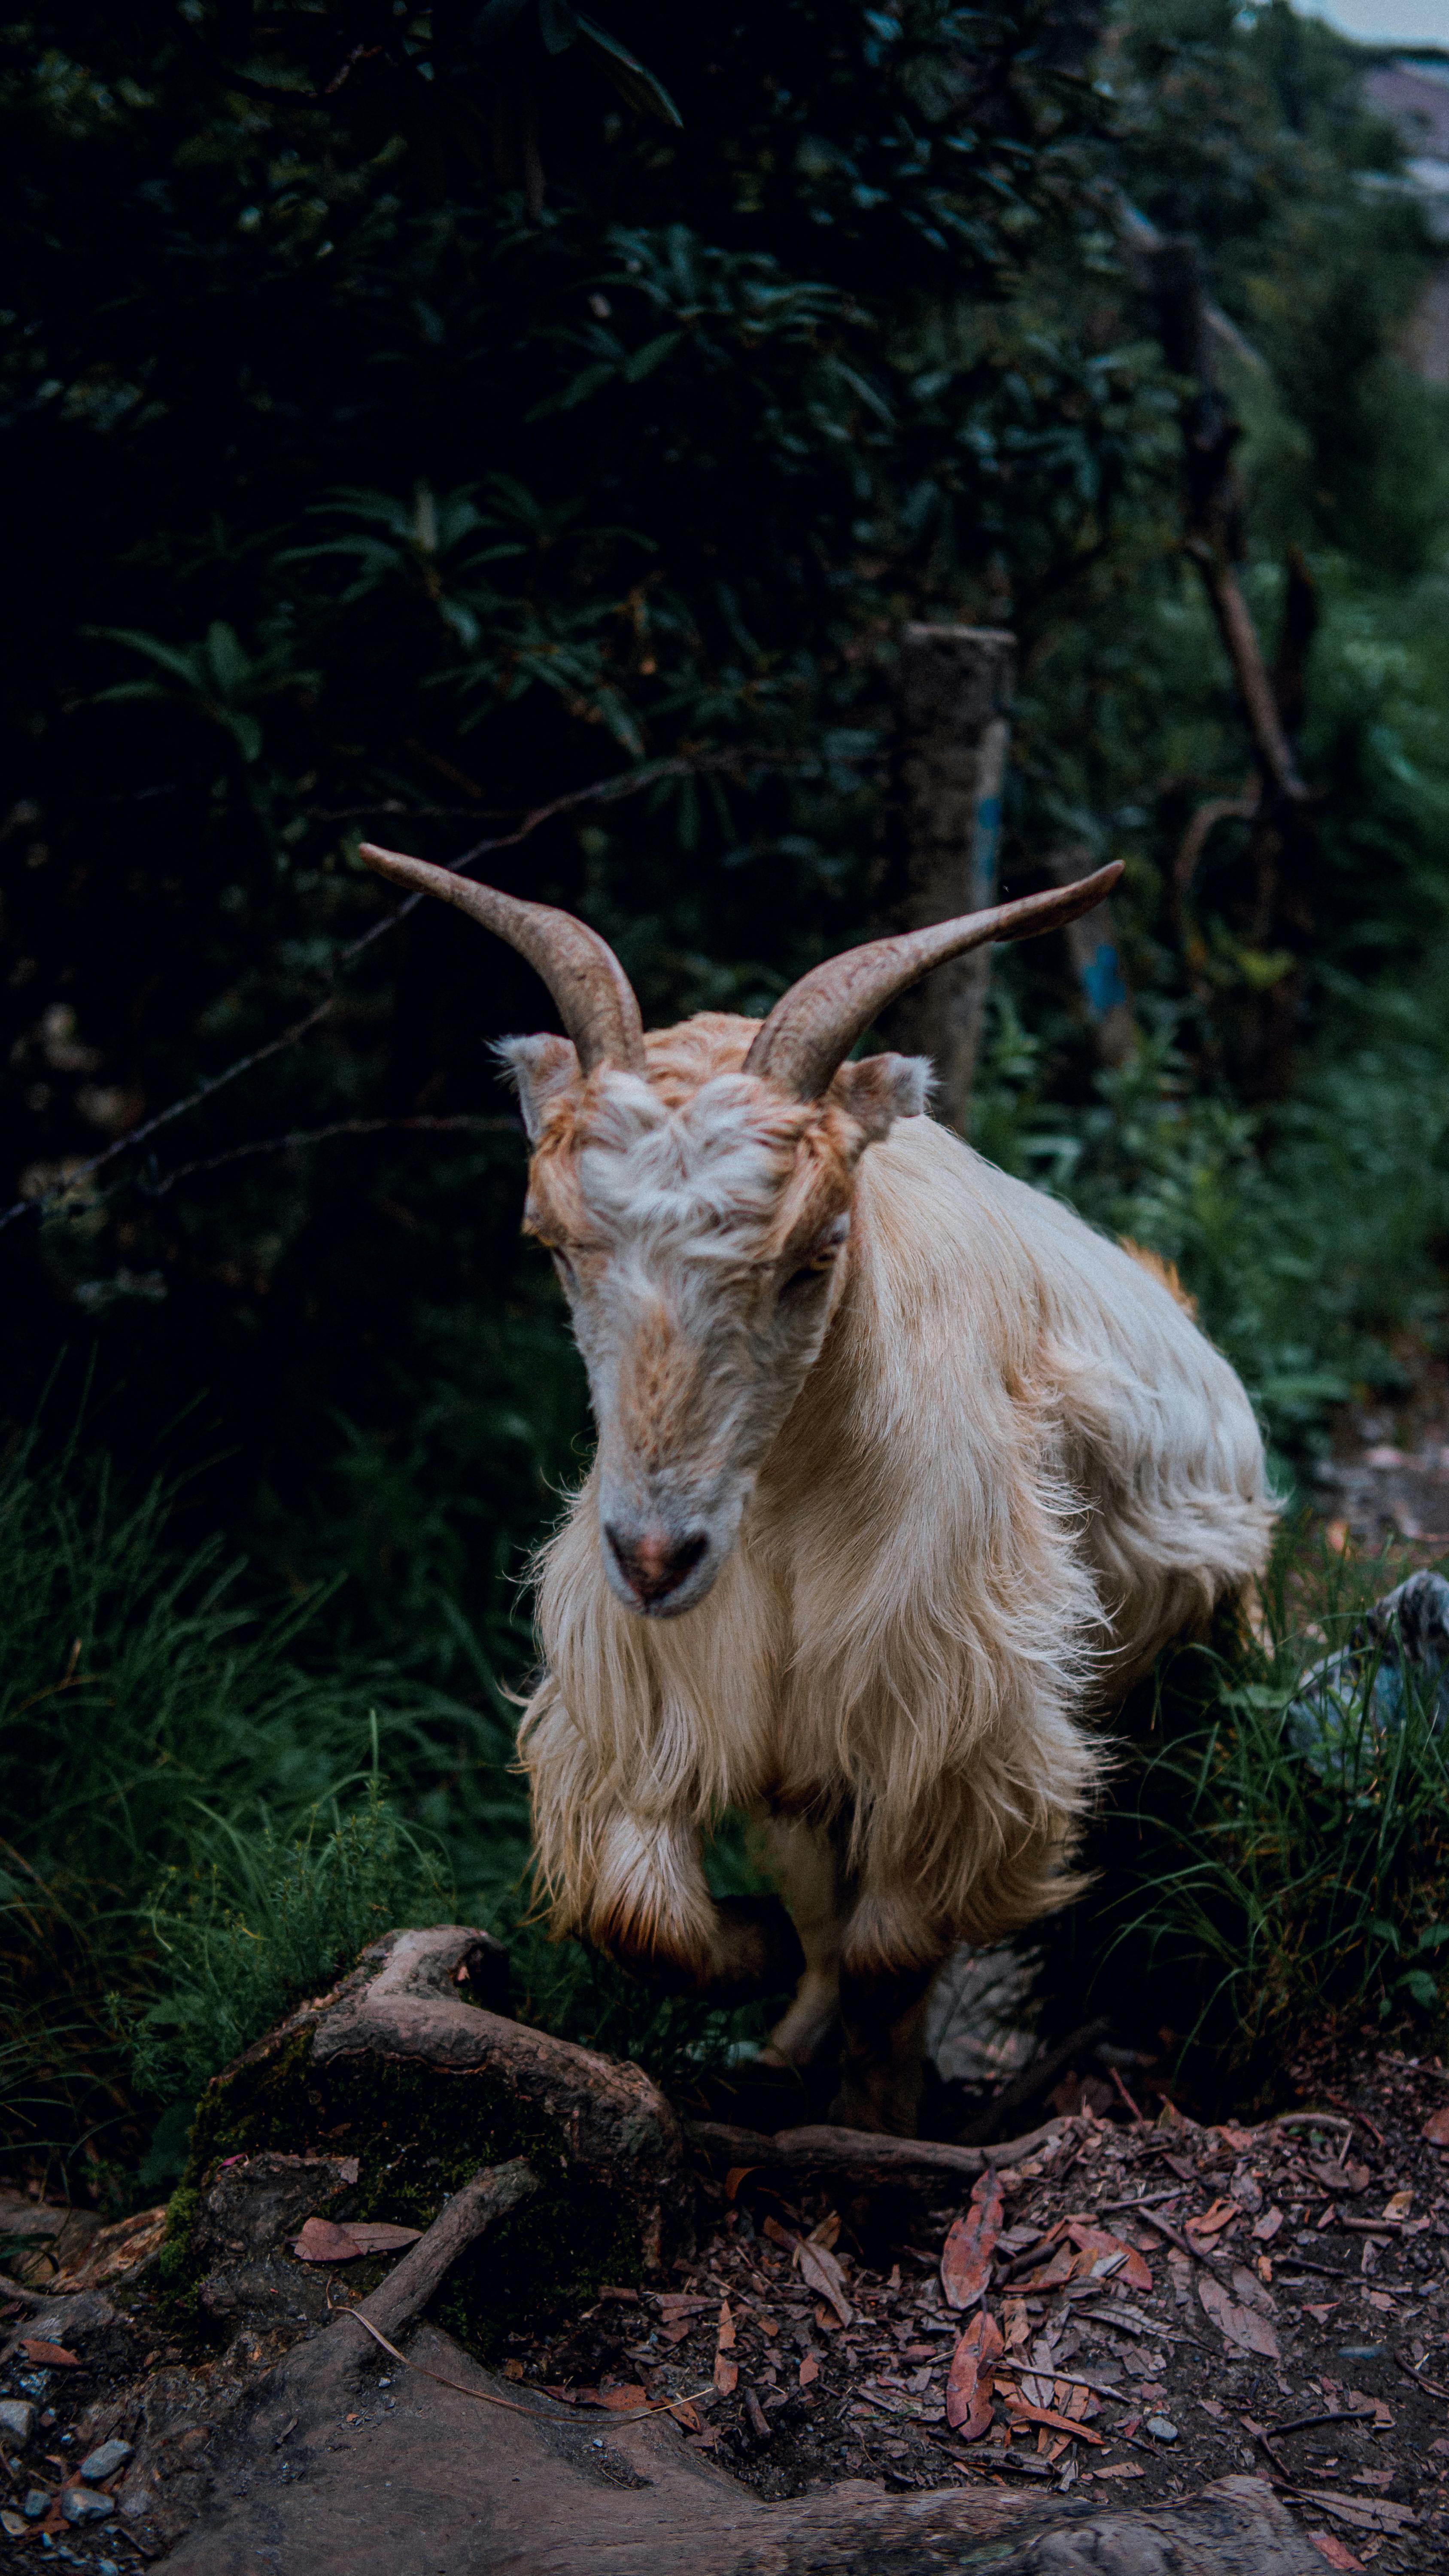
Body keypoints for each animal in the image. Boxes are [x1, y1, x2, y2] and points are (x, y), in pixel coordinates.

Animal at [362, 842, 1276, 2133]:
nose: (655, 1557)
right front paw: (772, 1979)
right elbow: (653, 1918)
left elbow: (894, 1949)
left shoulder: (953, 1725)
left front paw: (881, 2115)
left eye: (812, 1253)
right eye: (557, 1244)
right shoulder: (682, 1705)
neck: (788, 1510)